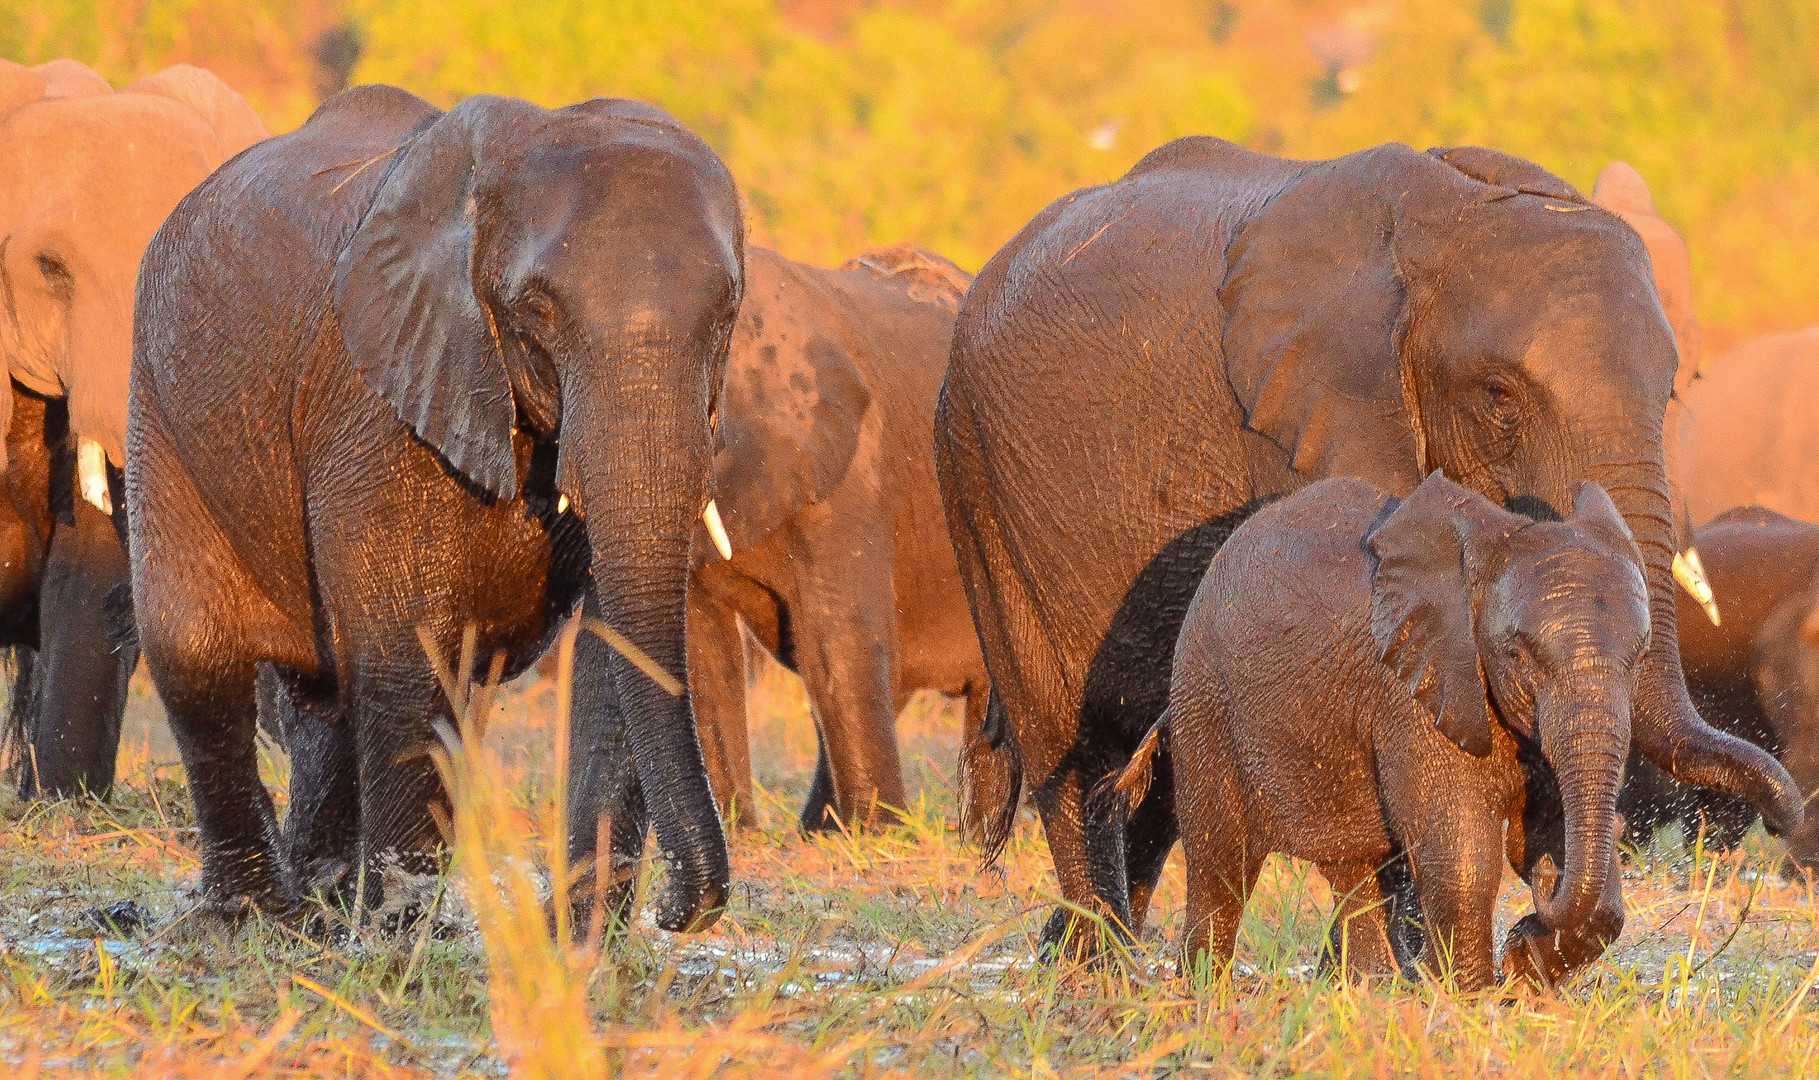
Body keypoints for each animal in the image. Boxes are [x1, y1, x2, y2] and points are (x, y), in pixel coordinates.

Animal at [128, 84, 742, 930]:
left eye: (728, 314)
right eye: (537, 311)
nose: (680, 911)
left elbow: (609, 649)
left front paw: (578, 943)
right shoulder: (379, 389)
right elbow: (405, 637)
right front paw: (396, 938)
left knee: (335, 693)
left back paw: (323, 903)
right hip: (160, 398)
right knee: (195, 649)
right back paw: (253, 918)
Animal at [1135, 472, 1666, 981]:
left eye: (1641, 656)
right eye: (1517, 655)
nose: (1545, 881)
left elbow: (1561, 847)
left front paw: (1520, 965)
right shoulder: (1411, 692)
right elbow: (1463, 858)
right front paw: (1468, 999)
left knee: (1356, 872)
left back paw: (1366, 989)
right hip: (1204, 694)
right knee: (1221, 863)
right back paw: (1203, 993)